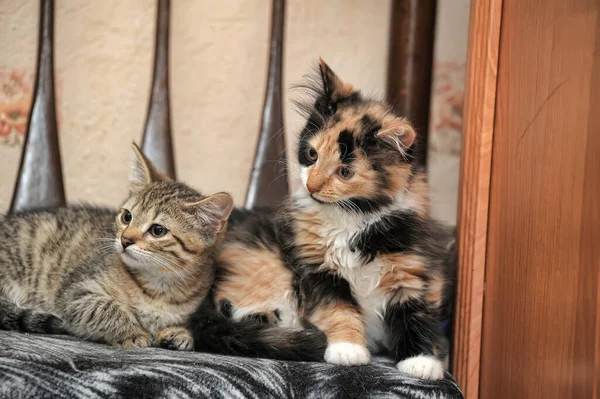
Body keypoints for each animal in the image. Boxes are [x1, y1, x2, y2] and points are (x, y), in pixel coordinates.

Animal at [0, 145, 232, 350]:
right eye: (127, 217)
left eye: (158, 230)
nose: (125, 240)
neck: (160, 288)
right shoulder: (76, 292)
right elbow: (107, 308)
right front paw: (132, 332)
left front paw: (181, 333)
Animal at [190, 60, 452, 382]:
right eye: (311, 154)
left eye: (345, 172)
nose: (312, 186)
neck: (351, 217)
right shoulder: (318, 269)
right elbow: (339, 309)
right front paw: (347, 349)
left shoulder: (412, 267)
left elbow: (416, 315)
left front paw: (421, 361)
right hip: (265, 268)